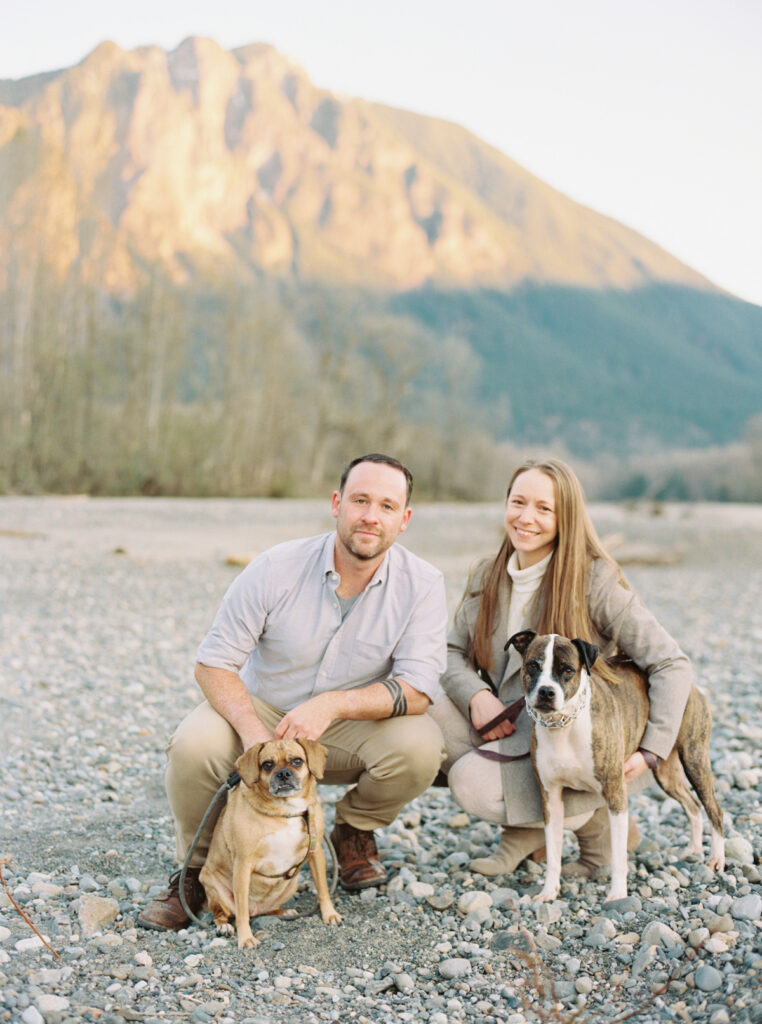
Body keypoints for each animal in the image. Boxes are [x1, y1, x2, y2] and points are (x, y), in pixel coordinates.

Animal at [199, 737, 340, 950]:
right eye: (267, 765)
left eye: (297, 761)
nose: (283, 774)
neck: (285, 809)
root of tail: (256, 909)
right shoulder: (243, 864)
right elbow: (241, 911)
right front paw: (245, 938)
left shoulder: (315, 853)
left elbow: (323, 889)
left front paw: (329, 914)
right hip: (214, 888)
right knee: (222, 913)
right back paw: (224, 927)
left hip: (291, 884)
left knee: (268, 910)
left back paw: (283, 912)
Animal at [508, 626, 725, 901]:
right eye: (533, 665)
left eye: (567, 670)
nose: (547, 691)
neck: (564, 726)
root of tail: (691, 686)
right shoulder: (551, 799)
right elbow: (553, 852)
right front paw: (548, 891)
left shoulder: (615, 794)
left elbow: (619, 854)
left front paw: (618, 894)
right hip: (666, 772)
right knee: (693, 804)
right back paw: (693, 849)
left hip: (694, 757)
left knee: (713, 808)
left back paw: (716, 859)